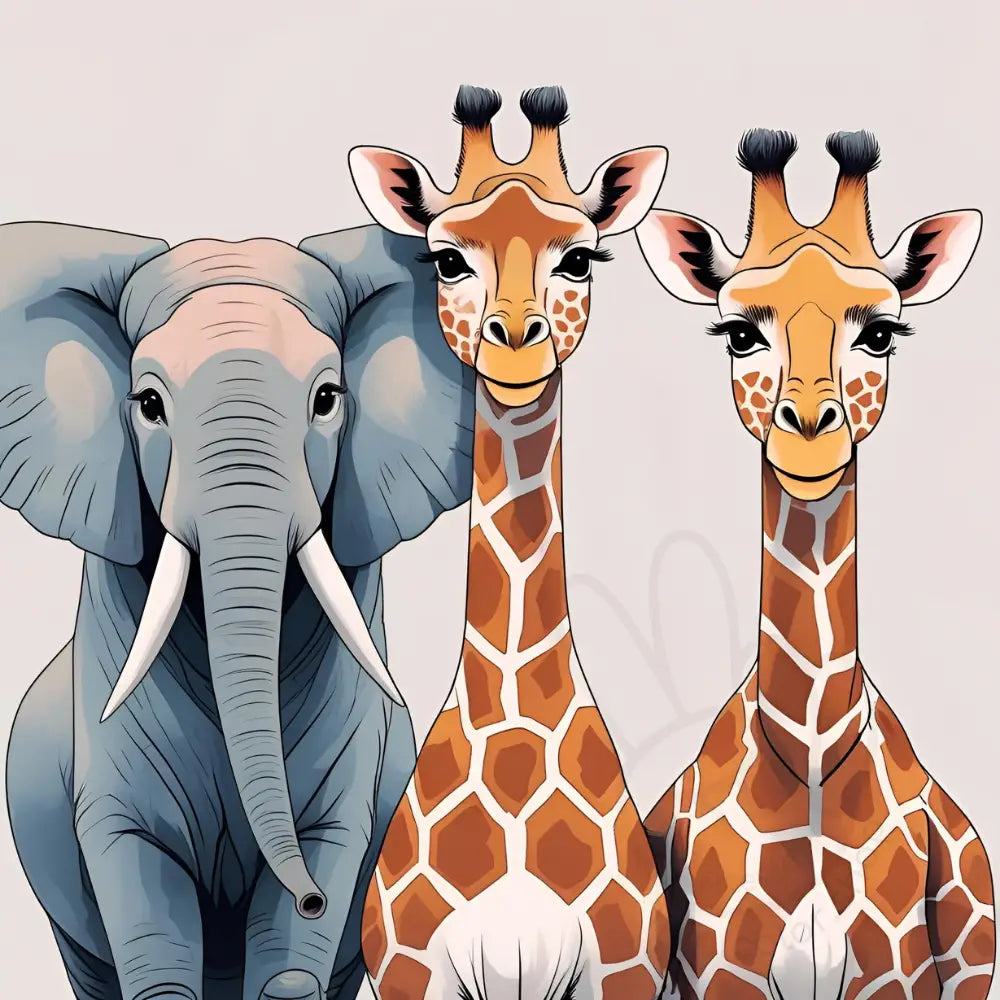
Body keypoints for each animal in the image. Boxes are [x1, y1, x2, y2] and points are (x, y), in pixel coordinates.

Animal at [2, 221, 475, 1000]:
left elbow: (322, 851)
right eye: (148, 405)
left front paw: (294, 941)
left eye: (327, 398)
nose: (313, 896)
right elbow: (140, 869)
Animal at [635, 129, 995, 1000]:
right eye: (739, 332)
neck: (810, 749)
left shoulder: (896, 972)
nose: (808, 435)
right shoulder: (722, 970)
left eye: (881, 332)